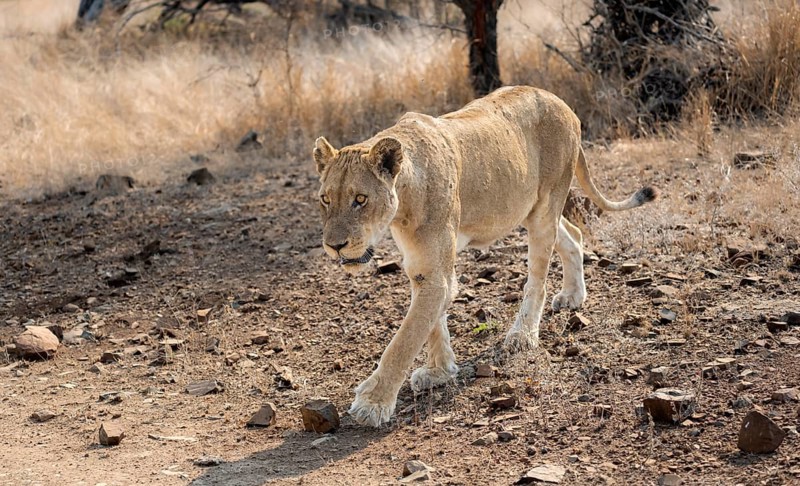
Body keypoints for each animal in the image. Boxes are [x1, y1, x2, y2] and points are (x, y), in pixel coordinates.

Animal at [312, 86, 656, 427]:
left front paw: (373, 403)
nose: (334, 245)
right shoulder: (422, 268)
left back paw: (522, 335)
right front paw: (439, 371)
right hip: (530, 209)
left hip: (546, 206)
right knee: (573, 235)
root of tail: (560, 102)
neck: (404, 204)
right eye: (325, 199)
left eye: (360, 199)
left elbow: (405, 339)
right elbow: (431, 324)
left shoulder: (435, 273)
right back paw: (573, 296)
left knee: (538, 278)